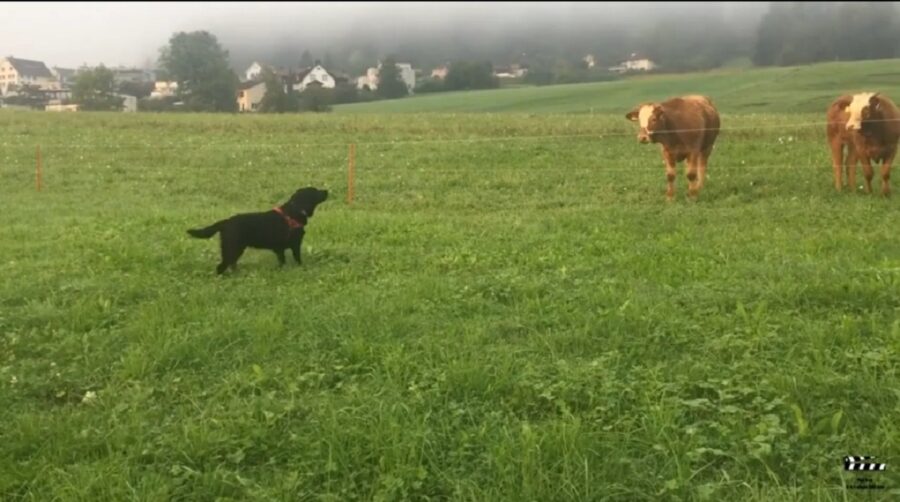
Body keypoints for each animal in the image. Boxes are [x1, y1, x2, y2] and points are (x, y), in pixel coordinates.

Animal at [188, 187, 328, 274]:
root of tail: (226, 221)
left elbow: (282, 261)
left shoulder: (280, 250)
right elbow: (297, 260)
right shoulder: (295, 245)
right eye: (315, 191)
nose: (326, 190)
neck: (293, 212)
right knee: (221, 266)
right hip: (232, 247)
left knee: (232, 264)